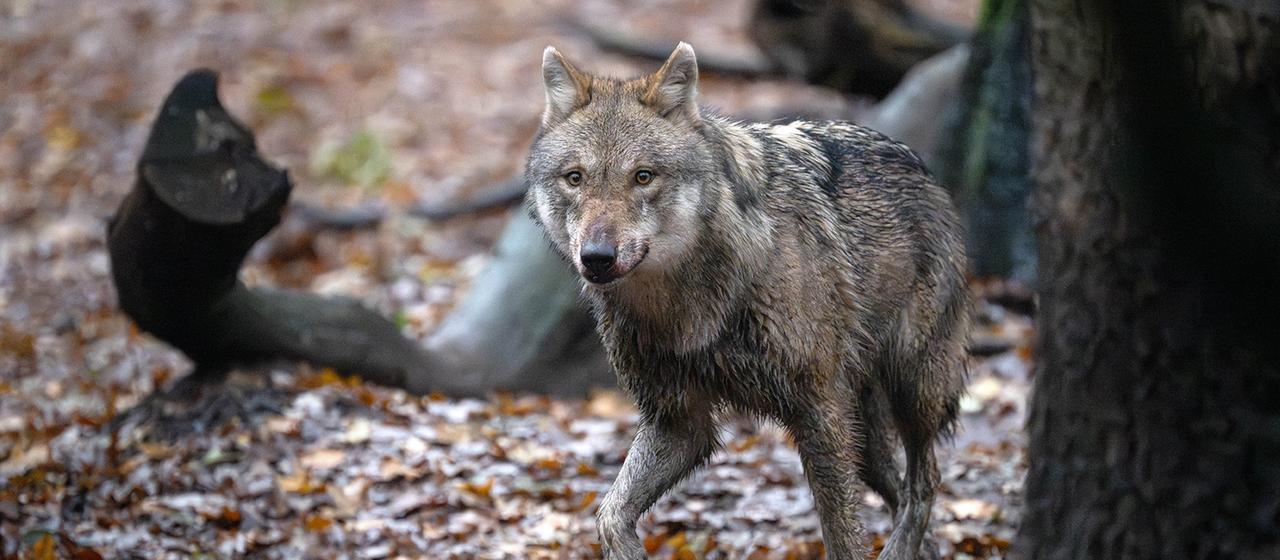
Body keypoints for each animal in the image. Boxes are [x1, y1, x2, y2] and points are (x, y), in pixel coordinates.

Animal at [525, 43, 970, 560]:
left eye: (642, 176)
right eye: (575, 178)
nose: (597, 257)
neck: (685, 306)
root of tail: (925, 172)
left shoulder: (818, 409)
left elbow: (843, 536)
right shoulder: (679, 421)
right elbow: (610, 515)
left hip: (911, 391)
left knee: (926, 482)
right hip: (866, 436)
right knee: (902, 490)